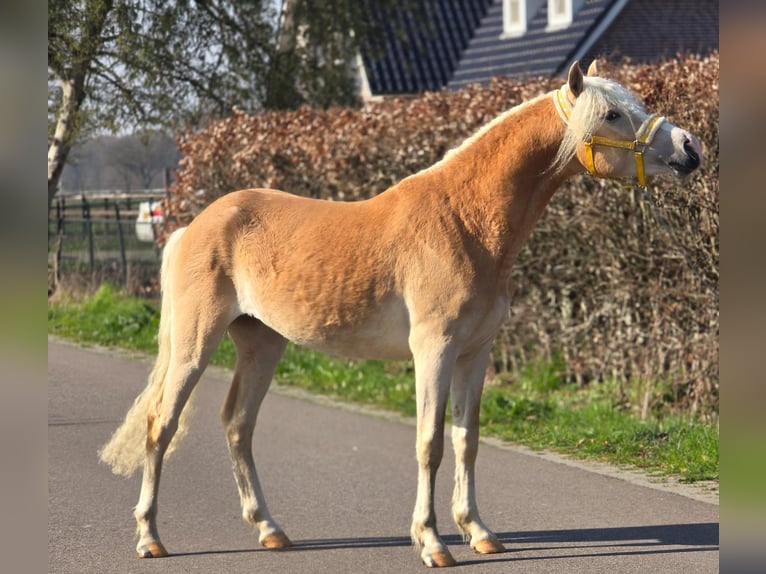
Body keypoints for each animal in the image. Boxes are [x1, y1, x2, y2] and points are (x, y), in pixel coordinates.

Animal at [99, 61, 702, 568]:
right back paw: (150, 538)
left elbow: (466, 438)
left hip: (262, 343)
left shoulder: (475, 352)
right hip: (195, 343)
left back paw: (269, 529)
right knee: (161, 424)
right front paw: (433, 543)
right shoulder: (433, 349)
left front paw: (478, 532)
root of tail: (193, 225)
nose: (689, 148)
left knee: (237, 425)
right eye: (612, 114)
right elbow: (429, 443)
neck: (465, 221)